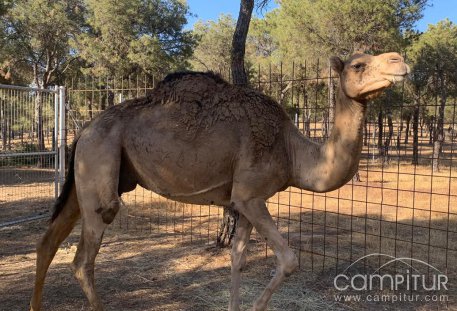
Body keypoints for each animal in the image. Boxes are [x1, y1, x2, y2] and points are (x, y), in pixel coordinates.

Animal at [29, 52, 410, 310]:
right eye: (358, 65)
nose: (400, 61)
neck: (291, 151)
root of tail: (83, 131)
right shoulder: (251, 196)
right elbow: (289, 260)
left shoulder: (243, 200)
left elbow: (237, 259)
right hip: (100, 164)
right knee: (83, 258)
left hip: (89, 174)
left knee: (49, 240)